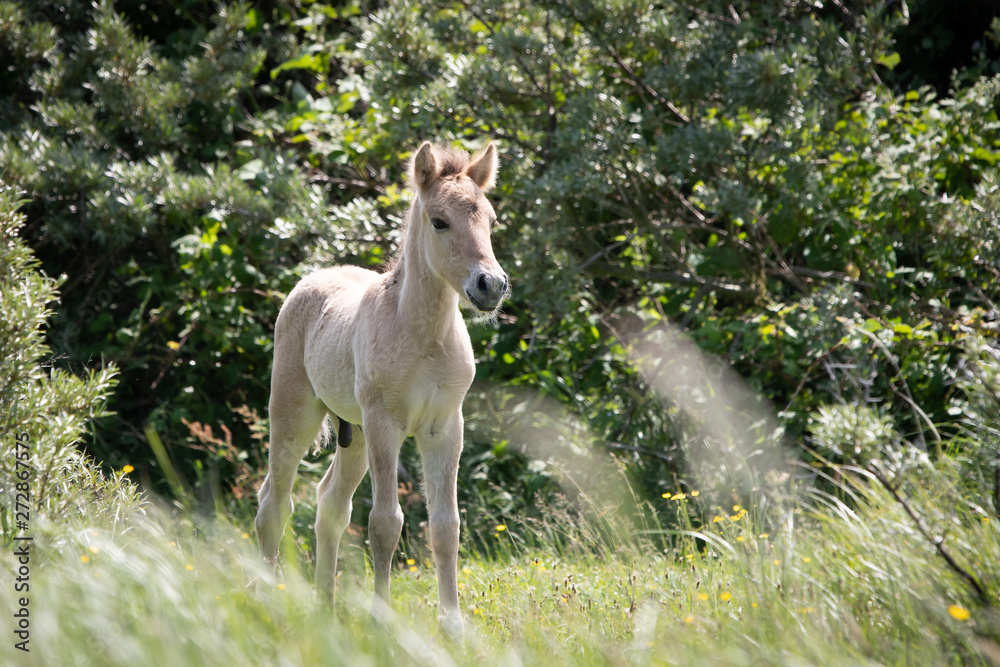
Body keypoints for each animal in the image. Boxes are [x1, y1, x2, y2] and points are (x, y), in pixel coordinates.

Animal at [258, 142, 508, 636]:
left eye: (490, 221)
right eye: (439, 221)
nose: (491, 285)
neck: (424, 338)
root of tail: (311, 278)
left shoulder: (445, 428)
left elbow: (445, 526)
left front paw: (453, 625)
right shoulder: (384, 423)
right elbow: (385, 523)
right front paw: (381, 619)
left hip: (352, 435)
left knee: (330, 505)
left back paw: (326, 607)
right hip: (295, 416)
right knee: (273, 503)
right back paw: (263, 598)